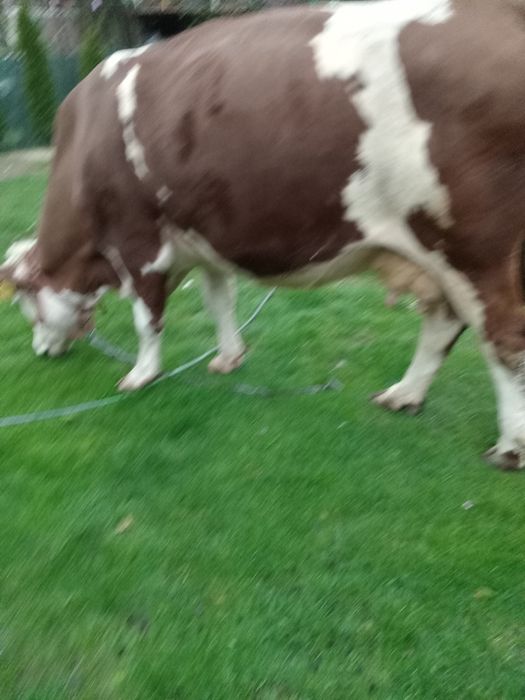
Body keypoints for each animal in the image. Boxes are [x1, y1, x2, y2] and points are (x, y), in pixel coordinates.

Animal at [2, 0, 525, 470]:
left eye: (25, 305)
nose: (41, 352)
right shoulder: (201, 239)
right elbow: (219, 301)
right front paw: (229, 359)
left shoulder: (138, 240)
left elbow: (147, 318)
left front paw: (141, 375)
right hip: (440, 253)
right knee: (443, 323)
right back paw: (404, 395)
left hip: (476, 249)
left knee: (502, 335)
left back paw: (510, 447)